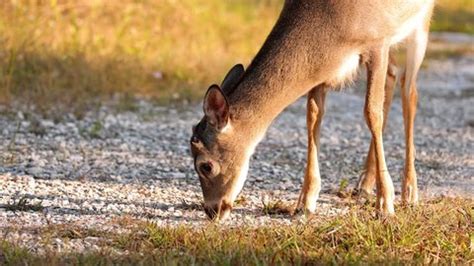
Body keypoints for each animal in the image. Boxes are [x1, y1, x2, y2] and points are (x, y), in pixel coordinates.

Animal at [189, 0, 434, 220]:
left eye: (206, 166)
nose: (212, 211)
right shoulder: (322, 71)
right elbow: (313, 116)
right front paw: (304, 203)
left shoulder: (378, 41)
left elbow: (371, 113)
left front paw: (385, 206)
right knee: (393, 75)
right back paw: (364, 184)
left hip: (420, 23)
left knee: (409, 90)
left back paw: (410, 192)